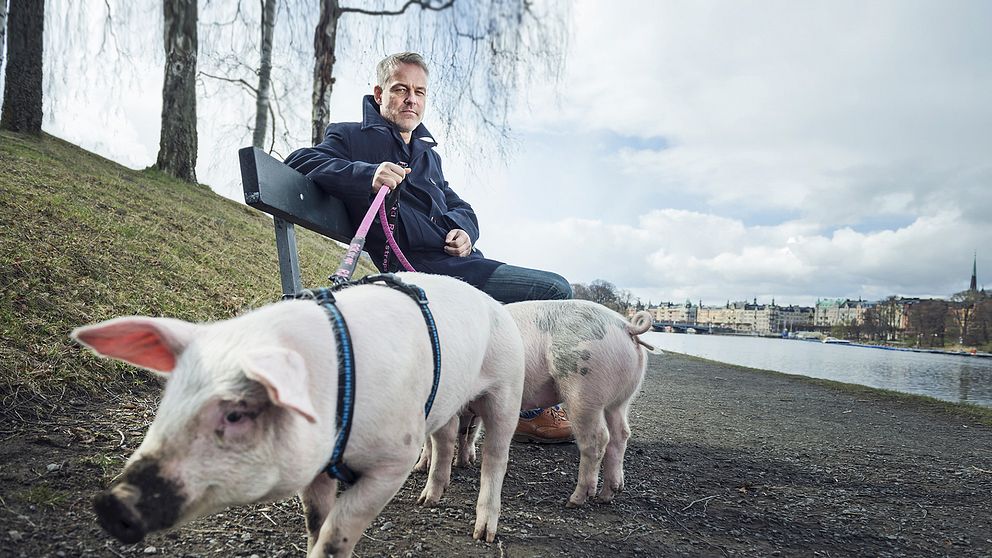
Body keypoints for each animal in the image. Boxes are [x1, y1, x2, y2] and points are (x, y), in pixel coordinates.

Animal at [71, 274, 528, 556]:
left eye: (236, 415)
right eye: (171, 396)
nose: (110, 503)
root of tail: (498, 305)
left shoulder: (393, 459)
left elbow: (337, 530)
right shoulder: (317, 467)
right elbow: (315, 520)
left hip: (508, 388)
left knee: (497, 456)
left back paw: (484, 533)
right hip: (447, 402)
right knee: (445, 438)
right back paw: (427, 499)